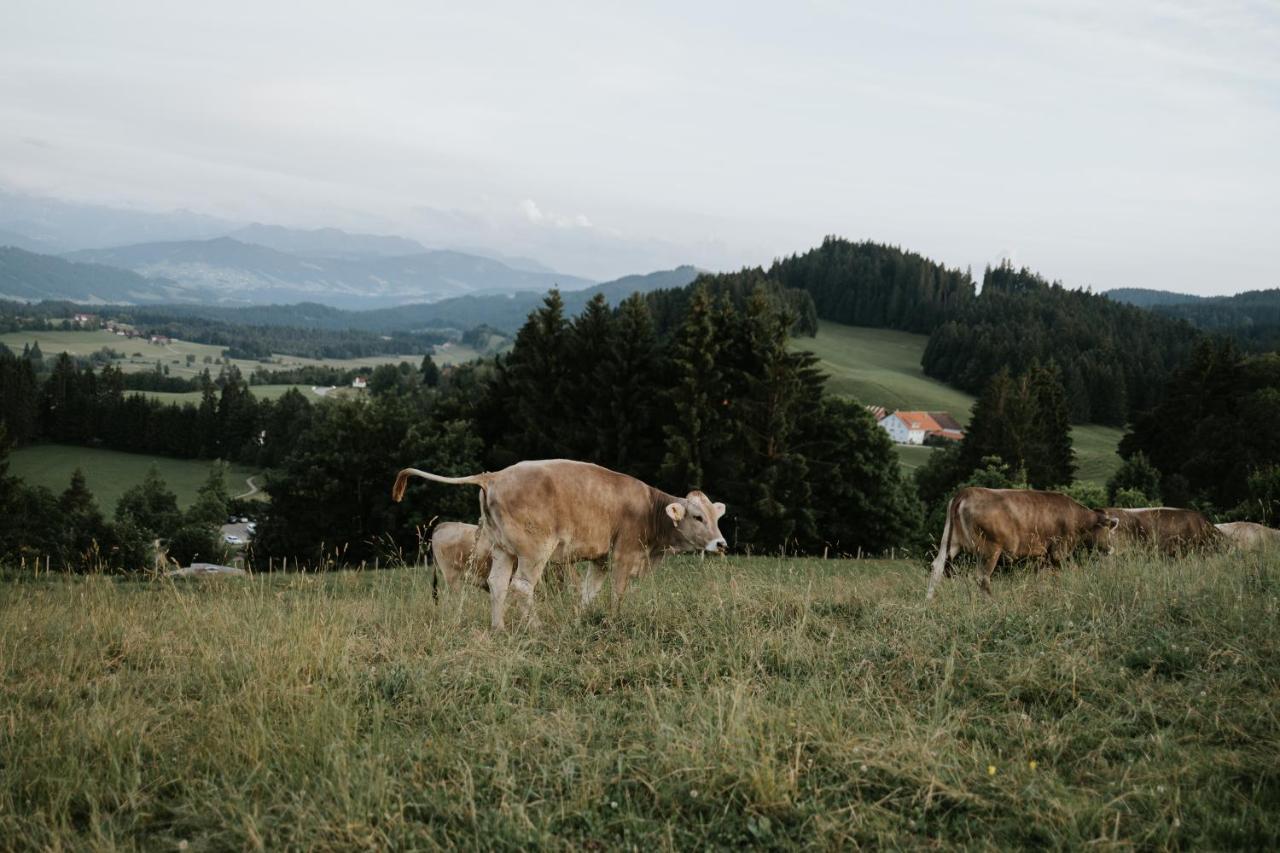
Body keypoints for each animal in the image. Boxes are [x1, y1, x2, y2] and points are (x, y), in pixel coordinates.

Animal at [389, 458, 727, 630]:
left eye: (716, 517)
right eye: (697, 516)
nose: (721, 544)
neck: (649, 507)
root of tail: (494, 476)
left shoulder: (600, 559)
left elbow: (589, 593)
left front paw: (581, 619)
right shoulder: (624, 554)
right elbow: (617, 593)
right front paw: (613, 621)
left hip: (503, 549)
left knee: (497, 584)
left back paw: (499, 628)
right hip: (534, 550)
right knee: (521, 586)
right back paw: (536, 627)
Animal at [926, 484, 1116, 596]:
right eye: (1108, 530)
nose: (1111, 549)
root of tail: (966, 492)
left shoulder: (1043, 556)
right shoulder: (1059, 551)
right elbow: (1071, 570)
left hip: (951, 541)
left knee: (937, 567)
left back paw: (929, 601)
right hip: (990, 549)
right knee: (982, 577)